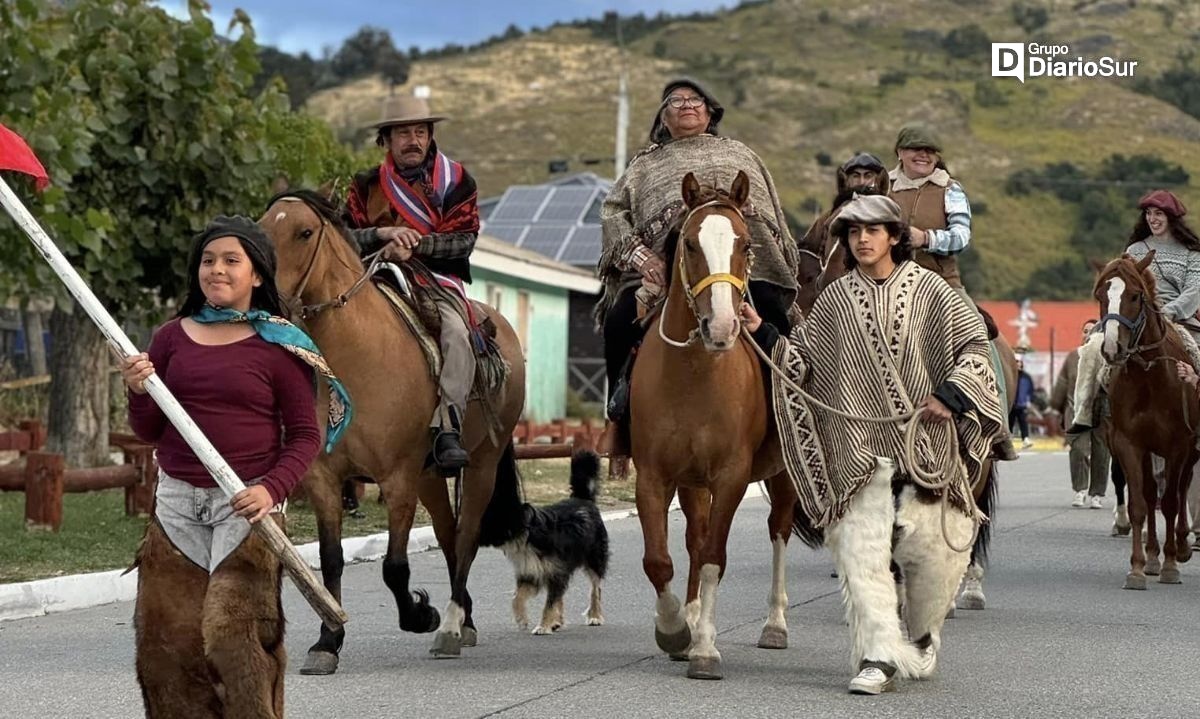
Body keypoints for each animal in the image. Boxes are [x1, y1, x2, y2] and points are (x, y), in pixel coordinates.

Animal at [484, 451, 604, 633]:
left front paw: (543, 626)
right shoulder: (531, 571)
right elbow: (517, 597)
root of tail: (583, 499)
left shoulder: (555, 571)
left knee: (595, 589)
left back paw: (595, 616)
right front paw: (522, 619)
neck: (526, 534)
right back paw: (557, 621)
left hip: (593, 559)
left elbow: (549, 604)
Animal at [628, 171, 796, 681]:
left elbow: (713, 558)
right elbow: (660, 559)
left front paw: (703, 649)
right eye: (689, 243)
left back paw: (775, 625)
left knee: (778, 529)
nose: (720, 326)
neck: (695, 374)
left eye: (745, 244)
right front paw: (675, 631)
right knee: (693, 538)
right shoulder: (655, 476)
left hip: (783, 477)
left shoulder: (731, 477)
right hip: (692, 482)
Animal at [1094, 253, 1195, 590]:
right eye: (1100, 296)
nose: (1113, 349)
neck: (1150, 376)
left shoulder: (1179, 446)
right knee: (1152, 495)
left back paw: (1181, 547)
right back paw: (1152, 557)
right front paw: (1137, 568)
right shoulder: (1130, 443)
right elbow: (1140, 503)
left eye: (1135, 296)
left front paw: (1172, 565)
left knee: (1181, 489)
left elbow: (1173, 501)